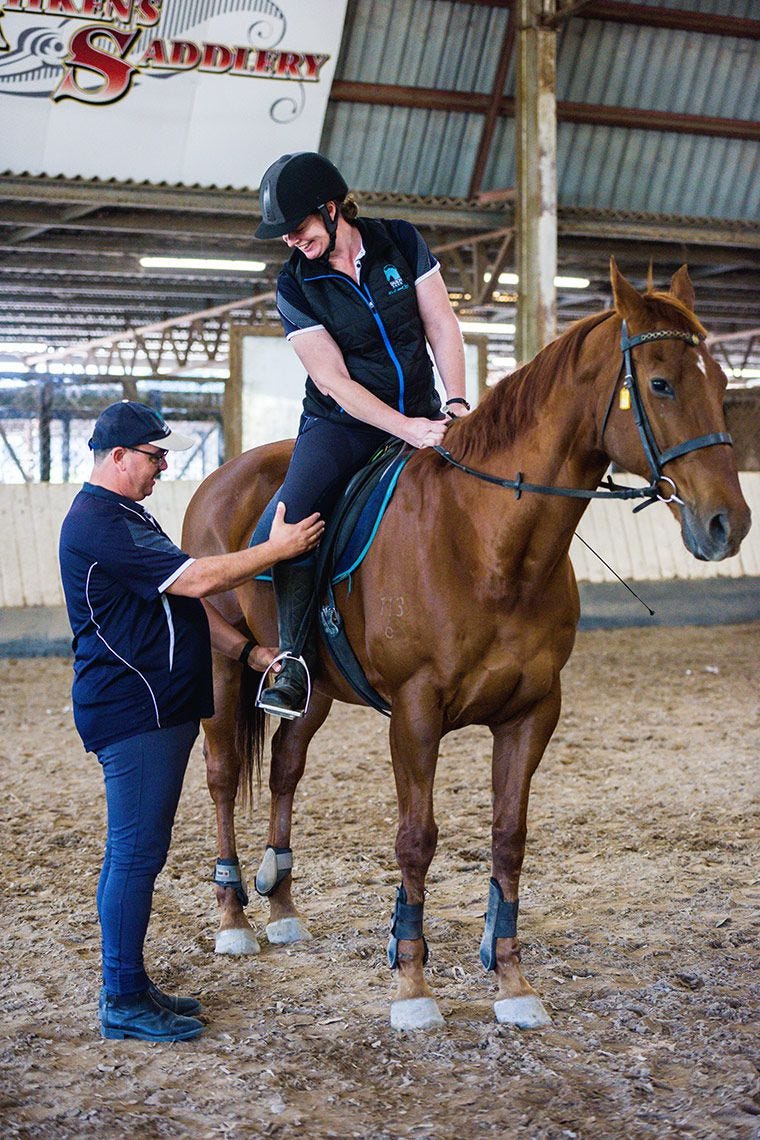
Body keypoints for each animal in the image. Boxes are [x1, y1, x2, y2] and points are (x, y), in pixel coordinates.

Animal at [182, 260, 750, 1031]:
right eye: (660, 384)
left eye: (721, 385)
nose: (729, 524)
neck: (488, 545)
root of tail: (219, 480)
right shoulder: (418, 714)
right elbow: (416, 840)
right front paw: (412, 984)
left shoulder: (533, 713)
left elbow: (509, 837)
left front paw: (511, 981)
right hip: (219, 666)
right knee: (220, 775)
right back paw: (234, 916)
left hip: (311, 686)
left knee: (285, 771)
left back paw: (282, 904)